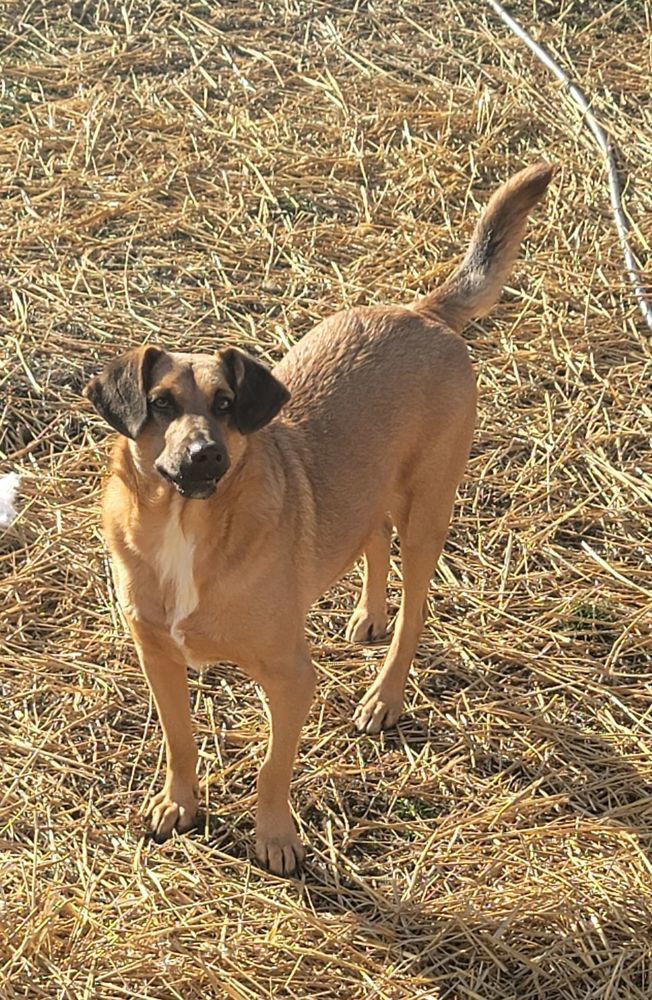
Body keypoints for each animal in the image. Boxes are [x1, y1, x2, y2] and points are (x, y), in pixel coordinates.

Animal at [86, 164, 552, 876]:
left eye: (226, 404)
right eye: (161, 404)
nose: (207, 454)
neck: (188, 530)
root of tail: (419, 312)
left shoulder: (290, 677)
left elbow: (273, 769)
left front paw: (276, 838)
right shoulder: (157, 655)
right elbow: (180, 739)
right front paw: (178, 805)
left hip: (428, 508)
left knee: (414, 611)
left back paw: (385, 695)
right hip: (374, 493)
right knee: (372, 538)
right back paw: (368, 615)